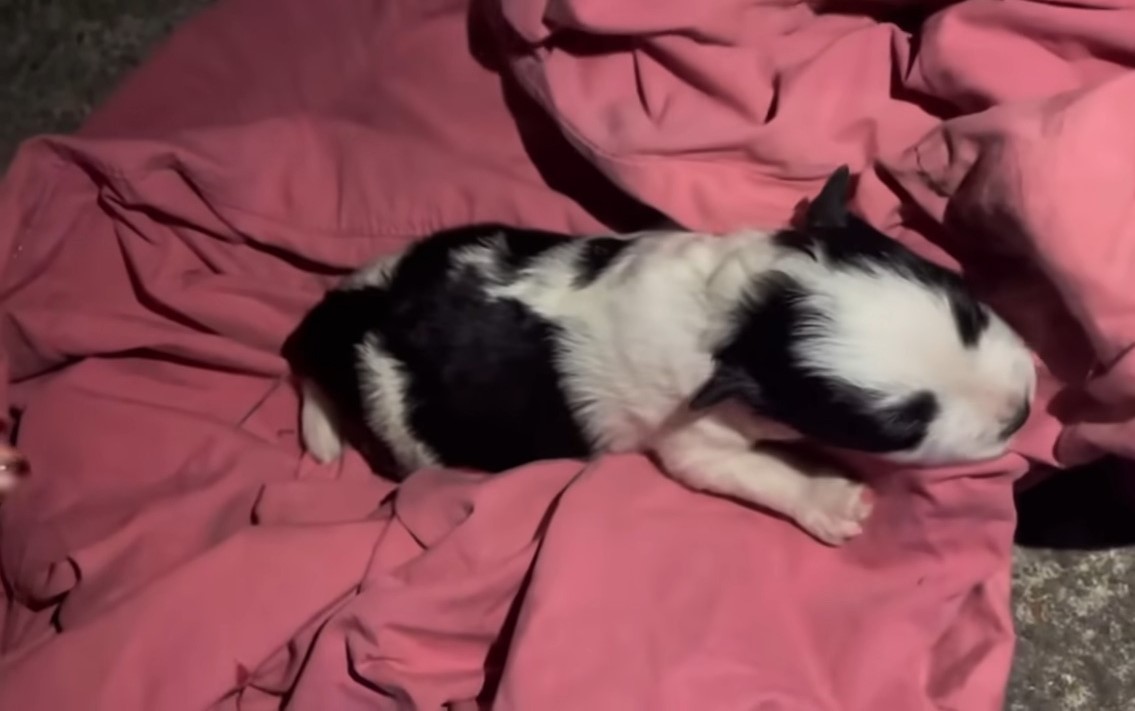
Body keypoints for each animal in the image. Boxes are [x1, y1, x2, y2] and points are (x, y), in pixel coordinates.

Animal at [283, 166, 1039, 542]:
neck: (731, 310)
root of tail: (354, 320)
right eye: (901, 425)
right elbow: (751, 471)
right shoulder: (691, 438)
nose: (1021, 412)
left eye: (971, 311)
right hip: (406, 430)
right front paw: (831, 499)